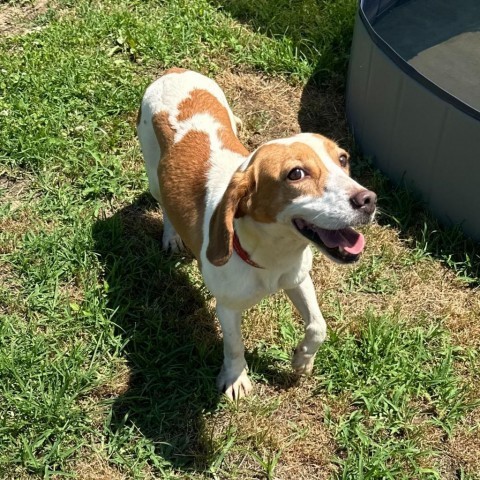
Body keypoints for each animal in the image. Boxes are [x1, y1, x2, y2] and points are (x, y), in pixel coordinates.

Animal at [137, 66, 376, 398]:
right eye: (296, 174)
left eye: (343, 159)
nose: (369, 200)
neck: (274, 254)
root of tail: (176, 70)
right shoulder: (227, 307)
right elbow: (235, 346)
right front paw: (236, 378)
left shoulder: (298, 279)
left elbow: (318, 326)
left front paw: (303, 359)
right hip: (153, 175)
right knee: (164, 206)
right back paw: (172, 236)